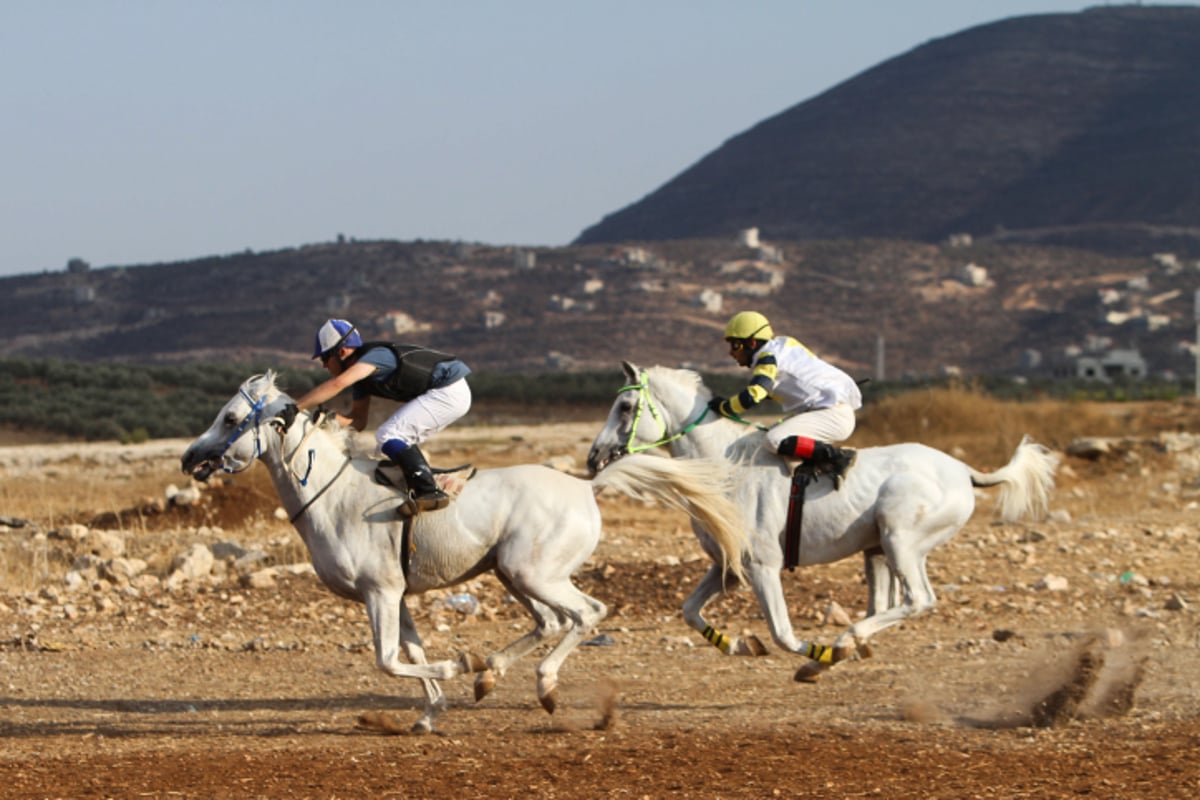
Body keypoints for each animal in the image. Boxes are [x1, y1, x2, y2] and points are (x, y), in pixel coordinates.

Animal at [181, 371, 744, 734]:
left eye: (230, 418)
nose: (189, 457)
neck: (332, 494)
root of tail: (587, 485)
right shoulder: (395, 595)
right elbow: (411, 654)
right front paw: (430, 713)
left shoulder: (379, 593)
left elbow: (389, 660)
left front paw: (456, 667)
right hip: (510, 574)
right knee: (551, 622)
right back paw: (490, 674)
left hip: (535, 573)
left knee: (587, 613)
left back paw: (542, 686)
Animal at [583, 362, 1060, 681]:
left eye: (625, 405)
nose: (594, 457)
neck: (724, 466)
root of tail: (964, 470)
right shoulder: (728, 566)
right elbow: (689, 611)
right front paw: (740, 644)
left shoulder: (763, 566)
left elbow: (782, 633)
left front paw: (818, 654)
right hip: (878, 550)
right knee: (885, 605)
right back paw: (848, 647)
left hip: (901, 539)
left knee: (918, 600)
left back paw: (844, 643)